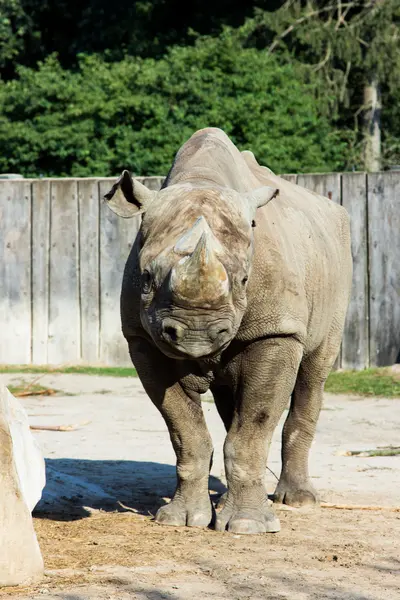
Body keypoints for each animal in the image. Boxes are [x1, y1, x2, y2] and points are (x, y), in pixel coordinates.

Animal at [104, 127, 352, 536]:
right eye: (147, 277)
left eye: (244, 280)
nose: (197, 335)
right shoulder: (143, 340)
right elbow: (187, 432)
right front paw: (181, 520)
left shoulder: (276, 331)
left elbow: (253, 428)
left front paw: (247, 526)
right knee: (229, 401)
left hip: (336, 271)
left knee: (314, 373)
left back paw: (299, 501)